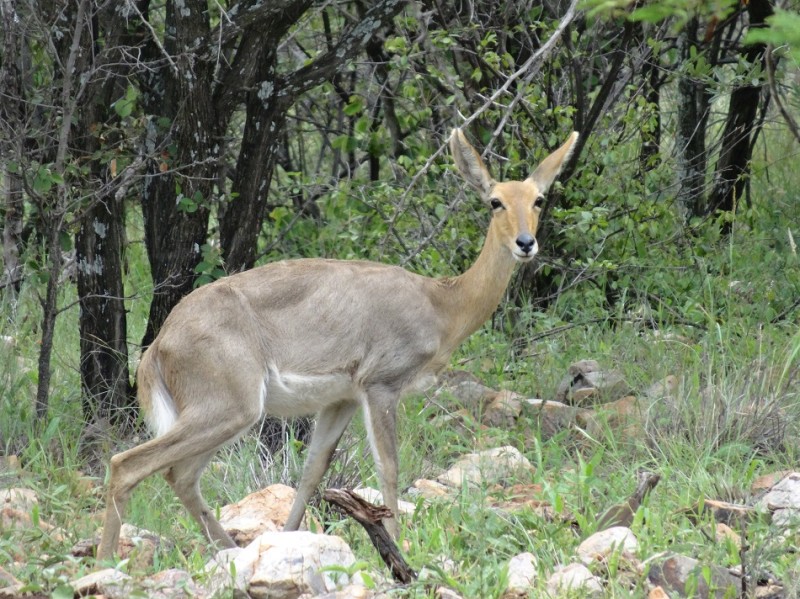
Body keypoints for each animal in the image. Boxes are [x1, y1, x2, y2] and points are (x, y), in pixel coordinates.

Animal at [96, 128, 579, 560]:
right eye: (495, 201)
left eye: (538, 199)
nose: (526, 243)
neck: (442, 303)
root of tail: (158, 346)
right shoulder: (381, 385)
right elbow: (389, 468)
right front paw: (400, 551)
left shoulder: (340, 399)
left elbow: (312, 472)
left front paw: (290, 540)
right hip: (228, 410)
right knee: (127, 465)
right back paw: (105, 564)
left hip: (223, 416)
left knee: (179, 475)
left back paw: (229, 551)